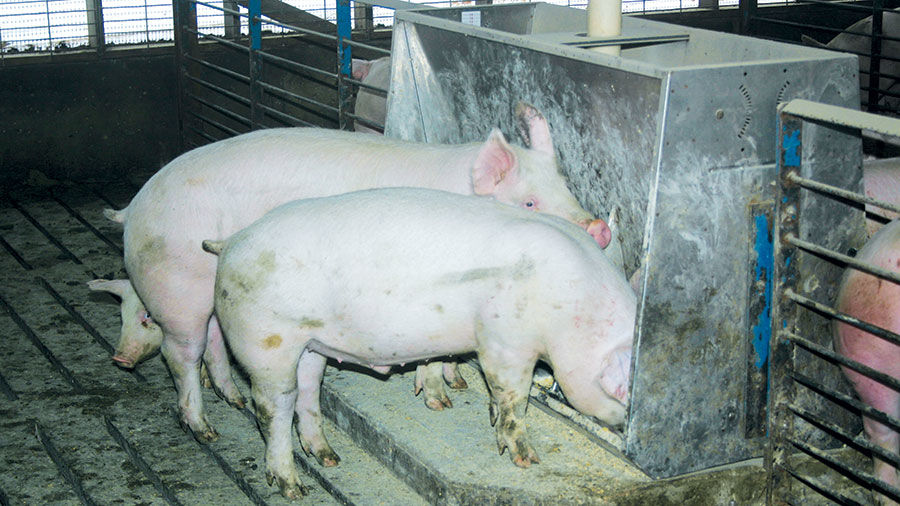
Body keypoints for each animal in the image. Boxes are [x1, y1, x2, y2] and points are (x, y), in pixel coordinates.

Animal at [109, 104, 613, 443]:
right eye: (529, 202)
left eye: (567, 188)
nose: (600, 228)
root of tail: (133, 207)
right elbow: (432, 354)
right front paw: (439, 398)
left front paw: (456, 381)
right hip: (177, 285)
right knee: (181, 354)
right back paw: (204, 429)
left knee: (215, 339)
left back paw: (230, 399)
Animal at [202, 187, 635, 499]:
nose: (626, 430)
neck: (576, 307)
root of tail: (231, 241)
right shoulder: (504, 342)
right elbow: (514, 397)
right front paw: (527, 460)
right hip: (266, 342)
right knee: (272, 408)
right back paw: (294, 488)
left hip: (310, 343)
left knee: (307, 392)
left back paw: (329, 459)